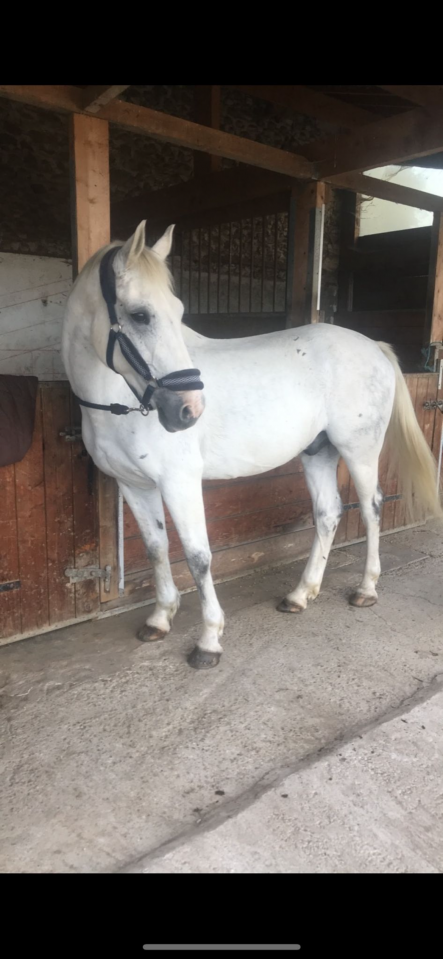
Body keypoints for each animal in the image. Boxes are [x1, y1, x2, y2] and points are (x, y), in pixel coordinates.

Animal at [62, 220, 441, 669]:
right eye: (140, 315)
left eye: (178, 312)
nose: (189, 410)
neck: (117, 401)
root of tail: (374, 347)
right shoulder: (133, 486)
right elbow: (156, 549)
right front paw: (159, 619)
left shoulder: (179, 482)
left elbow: (198, 557)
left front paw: (209, 641)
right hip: (318, 451)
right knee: (329, 513)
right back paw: (300, 595)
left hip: (360, 451)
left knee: (371, 509)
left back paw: (366, 589)